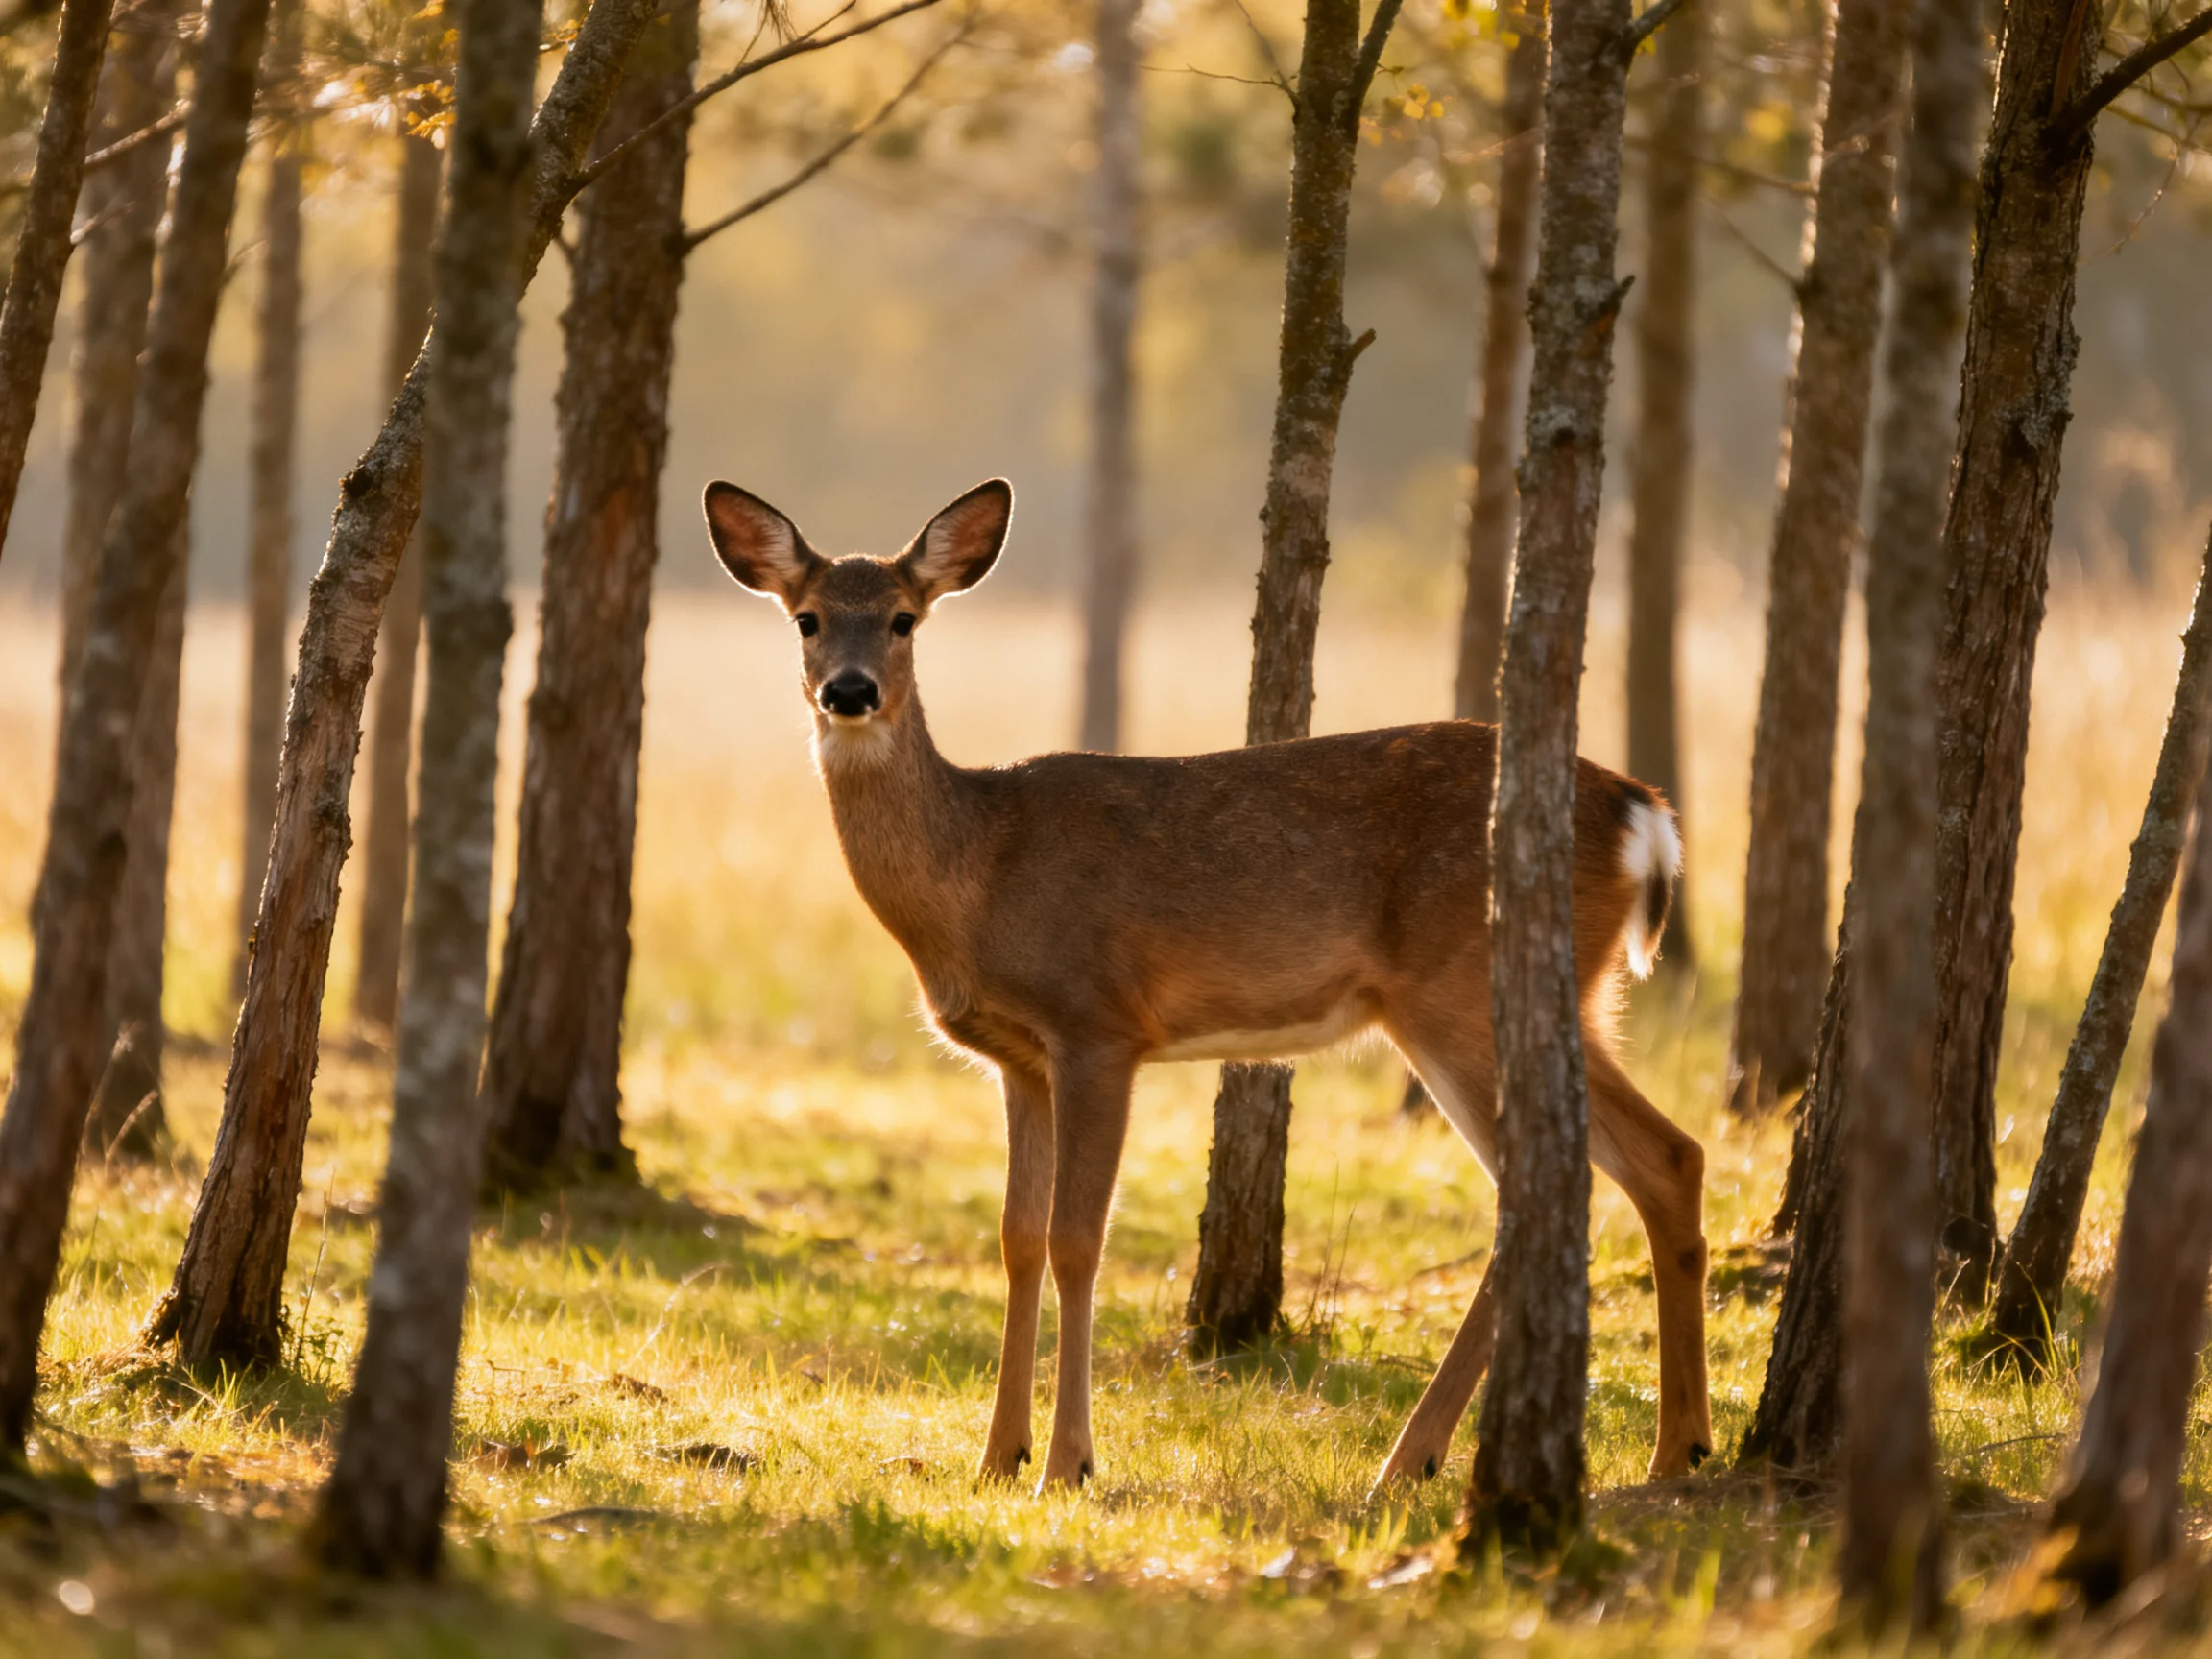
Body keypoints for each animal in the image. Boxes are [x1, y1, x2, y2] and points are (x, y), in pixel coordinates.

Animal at [704, 476, 1712, 1493]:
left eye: (904, 618)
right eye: (807, 618)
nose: (851, 690)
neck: (976, 874)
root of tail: (1645, 818)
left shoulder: (1098, 1024)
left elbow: (1077, 1240)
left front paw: (1067, 1462)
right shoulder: (1018, 1059)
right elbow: (1017, 1240)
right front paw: (996, 1456)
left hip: (1459, 991)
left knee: (1551, 1187)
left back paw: (1419, 1458)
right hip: (1551, 1000)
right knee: (1663, 1158)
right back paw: (1672, 1448)